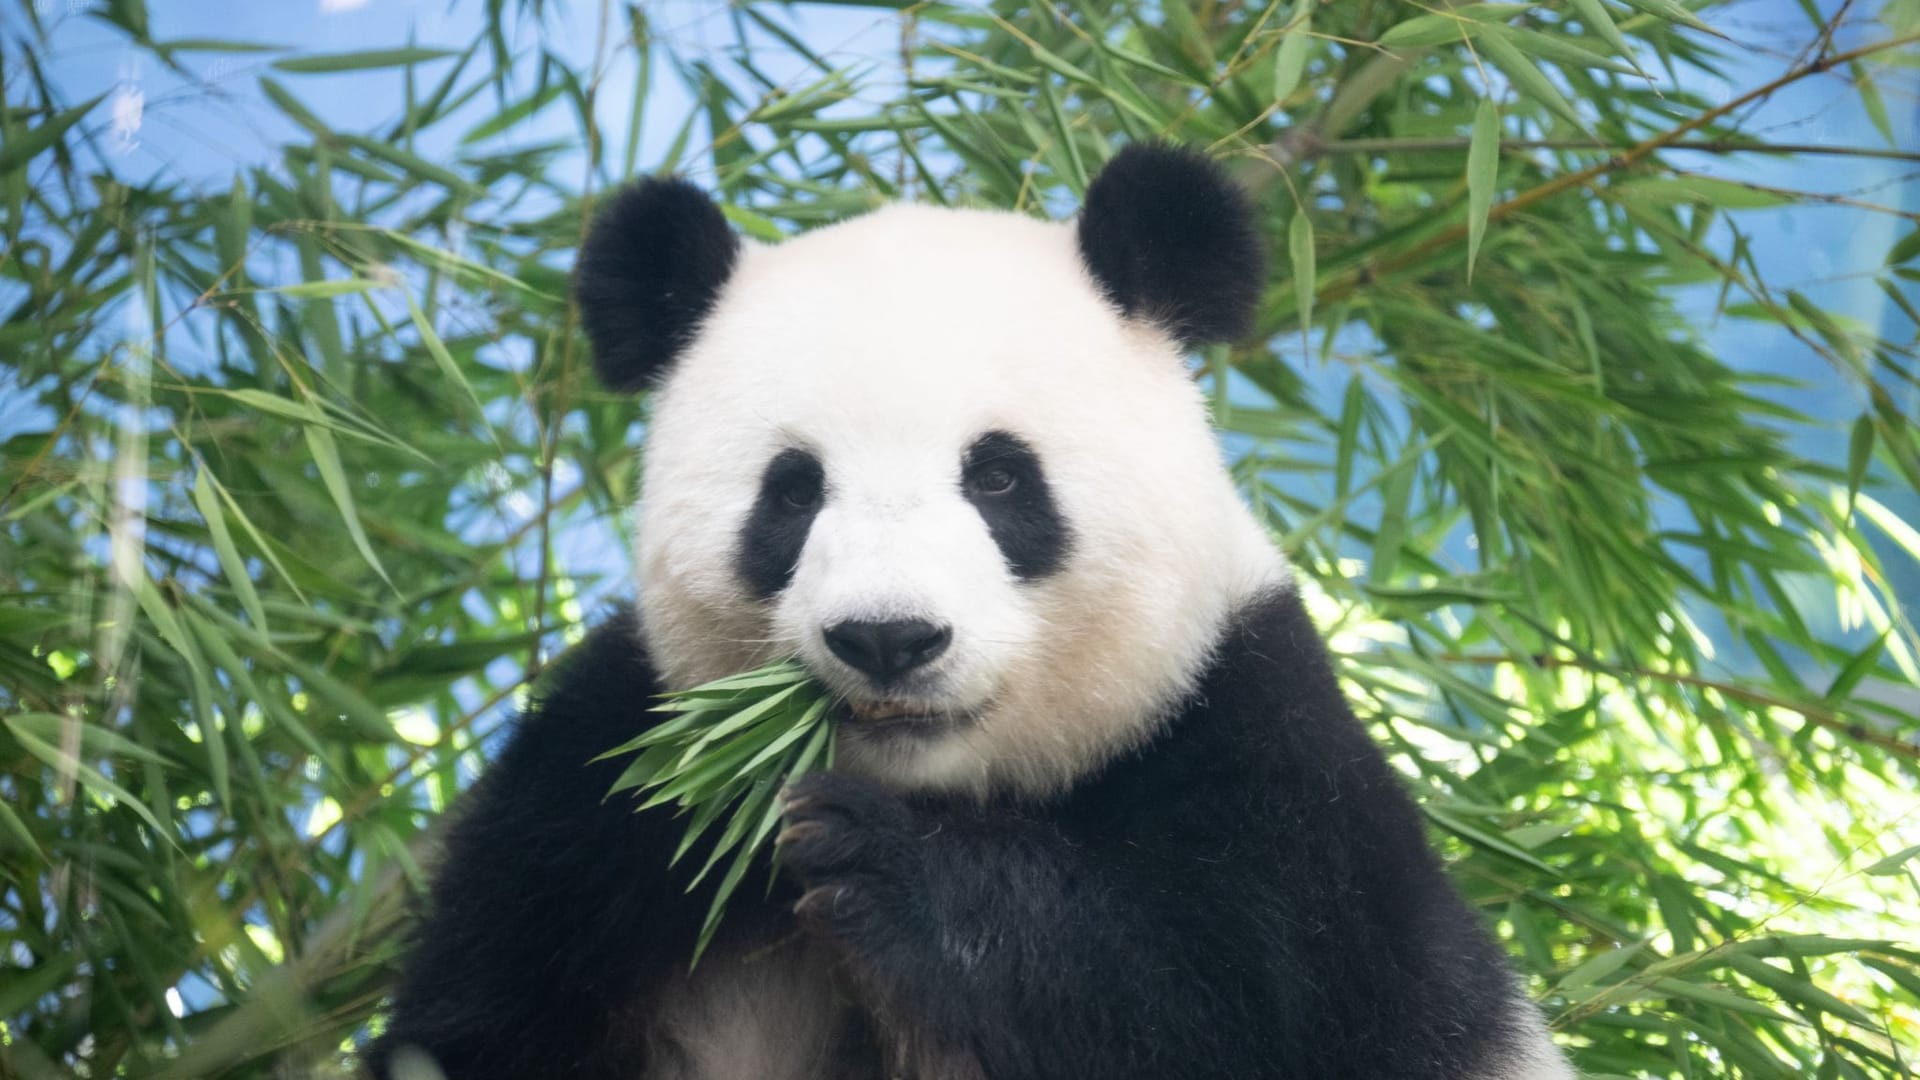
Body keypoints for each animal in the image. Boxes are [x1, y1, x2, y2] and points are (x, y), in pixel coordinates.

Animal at [366, 143, 1566, 1076]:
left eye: (997, 479)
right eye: (792, 492)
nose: (888, 637)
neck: (947, 786)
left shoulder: (1265, 749)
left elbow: (1238, 994)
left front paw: (893, 877)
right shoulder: (605, 801)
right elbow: (476, 1022)